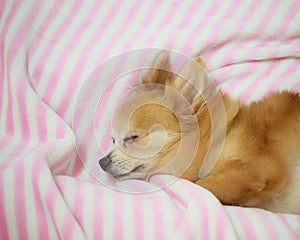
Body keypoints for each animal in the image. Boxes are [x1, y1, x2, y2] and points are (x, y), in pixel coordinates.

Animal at [99, 51, 300, 214]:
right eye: (113, 140)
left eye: (133, 137)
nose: (101, 162)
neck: (218, 140)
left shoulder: (260, 171)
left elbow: (203, 184)